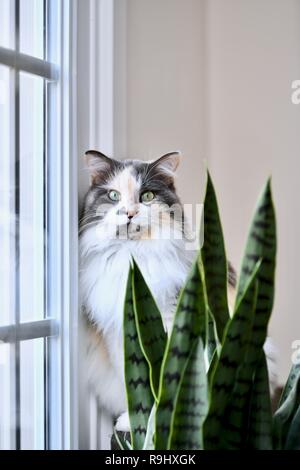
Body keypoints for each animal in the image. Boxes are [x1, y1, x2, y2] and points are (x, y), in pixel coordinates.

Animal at [79, 151, 276, 434]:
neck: (134, 261)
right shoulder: (119, 334)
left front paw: (160, 422)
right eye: (114, 195)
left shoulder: (174, 320)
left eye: (147, 196)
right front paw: (135, 422)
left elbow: (165, 377)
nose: (129, 213)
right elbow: (133, 382)